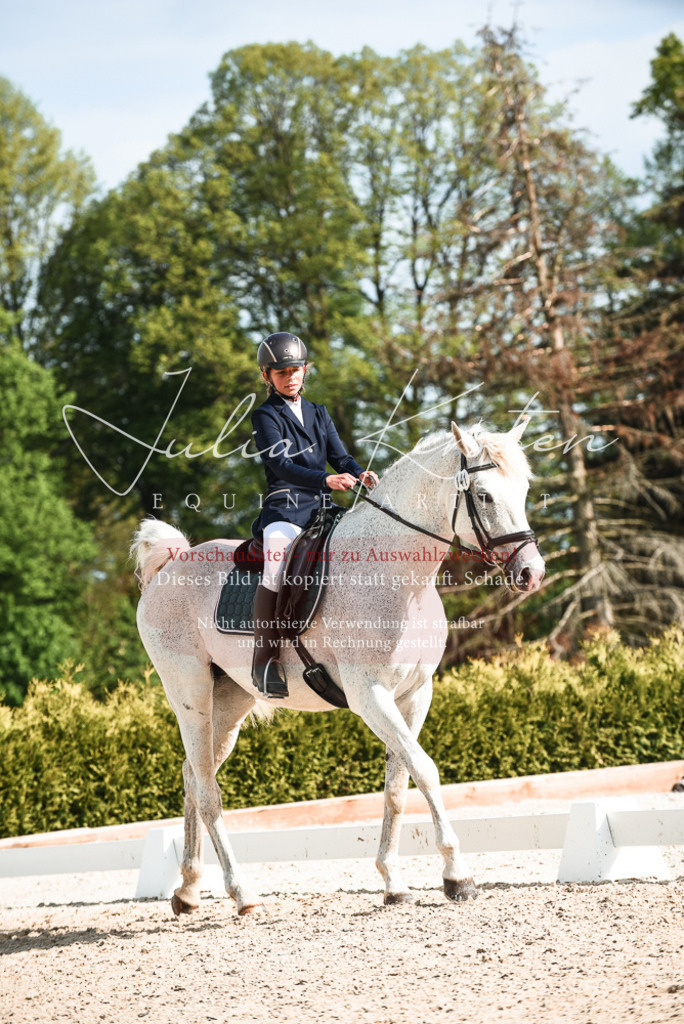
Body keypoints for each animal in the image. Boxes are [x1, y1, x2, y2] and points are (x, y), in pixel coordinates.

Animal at [131, 421, 545, 916]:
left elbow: (397, 785)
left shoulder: (415, 694)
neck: (398, 579)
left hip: (229, 703)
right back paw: (242, 894)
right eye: (483, 495)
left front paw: (394, 883)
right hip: (189, 695)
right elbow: (425, 770)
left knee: (194, 776)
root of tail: (170, 565)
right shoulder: (370, 696)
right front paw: (457, 876)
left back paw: (188, 891)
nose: (532, 573)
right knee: (209, 792)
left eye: (524, 490)